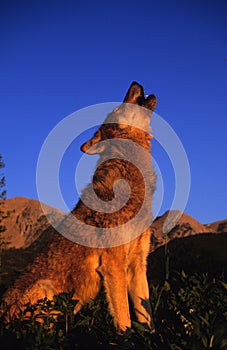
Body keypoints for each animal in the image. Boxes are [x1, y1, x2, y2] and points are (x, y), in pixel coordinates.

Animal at [1, 81, 157, 334]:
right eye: (116, 108)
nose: (135, 83)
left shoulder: (138, 266)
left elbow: (148, 320)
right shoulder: (113, 265)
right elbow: (124, 320)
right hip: (46, 290)